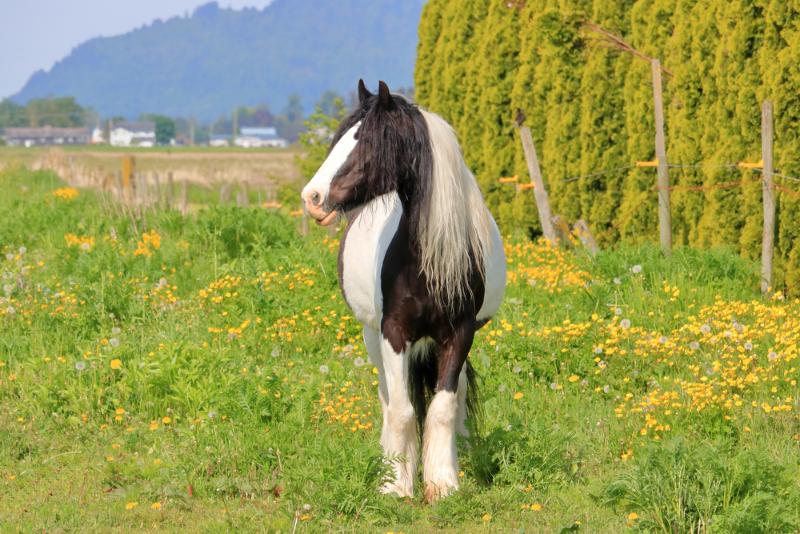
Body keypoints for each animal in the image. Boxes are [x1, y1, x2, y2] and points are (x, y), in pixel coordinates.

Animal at [301, 80, 506, 503]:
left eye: (366, 142)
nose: (312, 198)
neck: (426, 261)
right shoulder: (393, 333)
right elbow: (401, 410)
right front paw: (395, 483)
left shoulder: (460, 334)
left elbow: (443, 407)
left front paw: (443, 483)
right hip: (371, 336)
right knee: (388, 398)